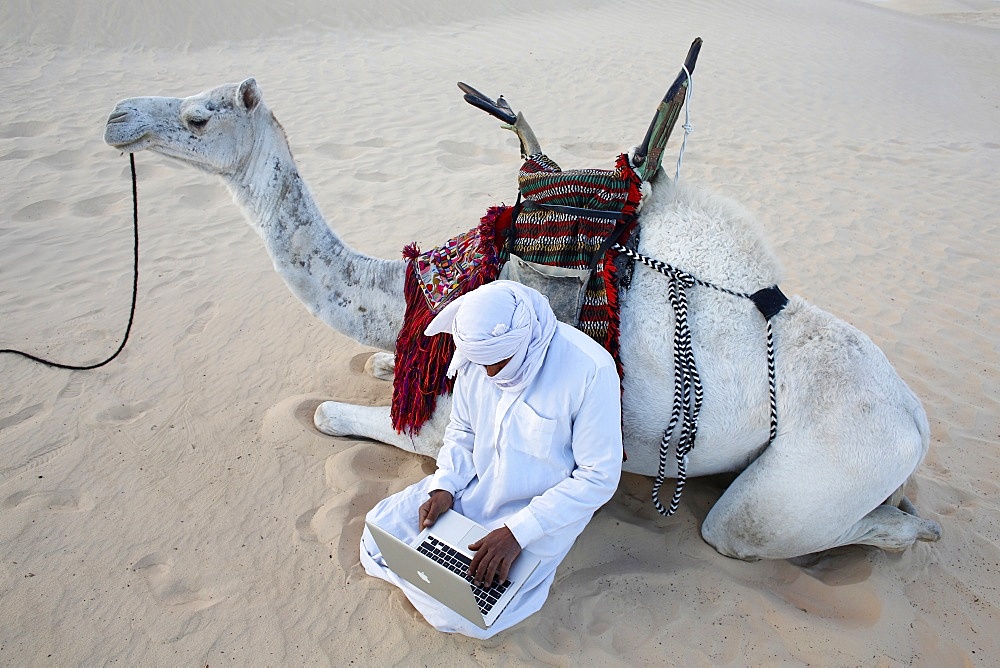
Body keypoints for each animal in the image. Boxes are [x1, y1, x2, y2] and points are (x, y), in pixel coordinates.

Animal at [105, 77, 940, 560]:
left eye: (197, 115)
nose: (116, 115)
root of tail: (914, 415)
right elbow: (380, 366)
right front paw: (379, 362)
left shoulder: (443, 428)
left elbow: (330, 417)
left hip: (812, 481)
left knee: (760, 530)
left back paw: (912, 522)